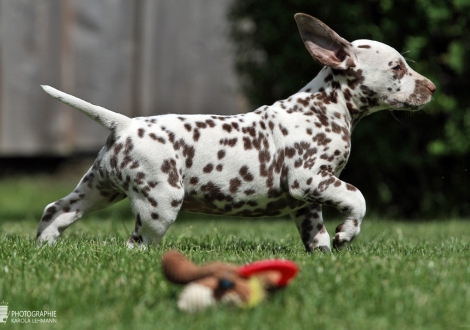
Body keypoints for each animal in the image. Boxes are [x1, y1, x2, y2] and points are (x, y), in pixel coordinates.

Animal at [36, 11, 436, 251]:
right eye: (397, 67)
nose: (432, 88)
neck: (326, 106)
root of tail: (125, 123)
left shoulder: (307, 201)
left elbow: (316, 236)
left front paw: (326, 255)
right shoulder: (309, 178)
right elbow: (357, 197)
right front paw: (347, 233)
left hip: (99, 189)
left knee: (56, 210)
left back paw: (43, 248)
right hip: (160, 202)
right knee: (136, 244)